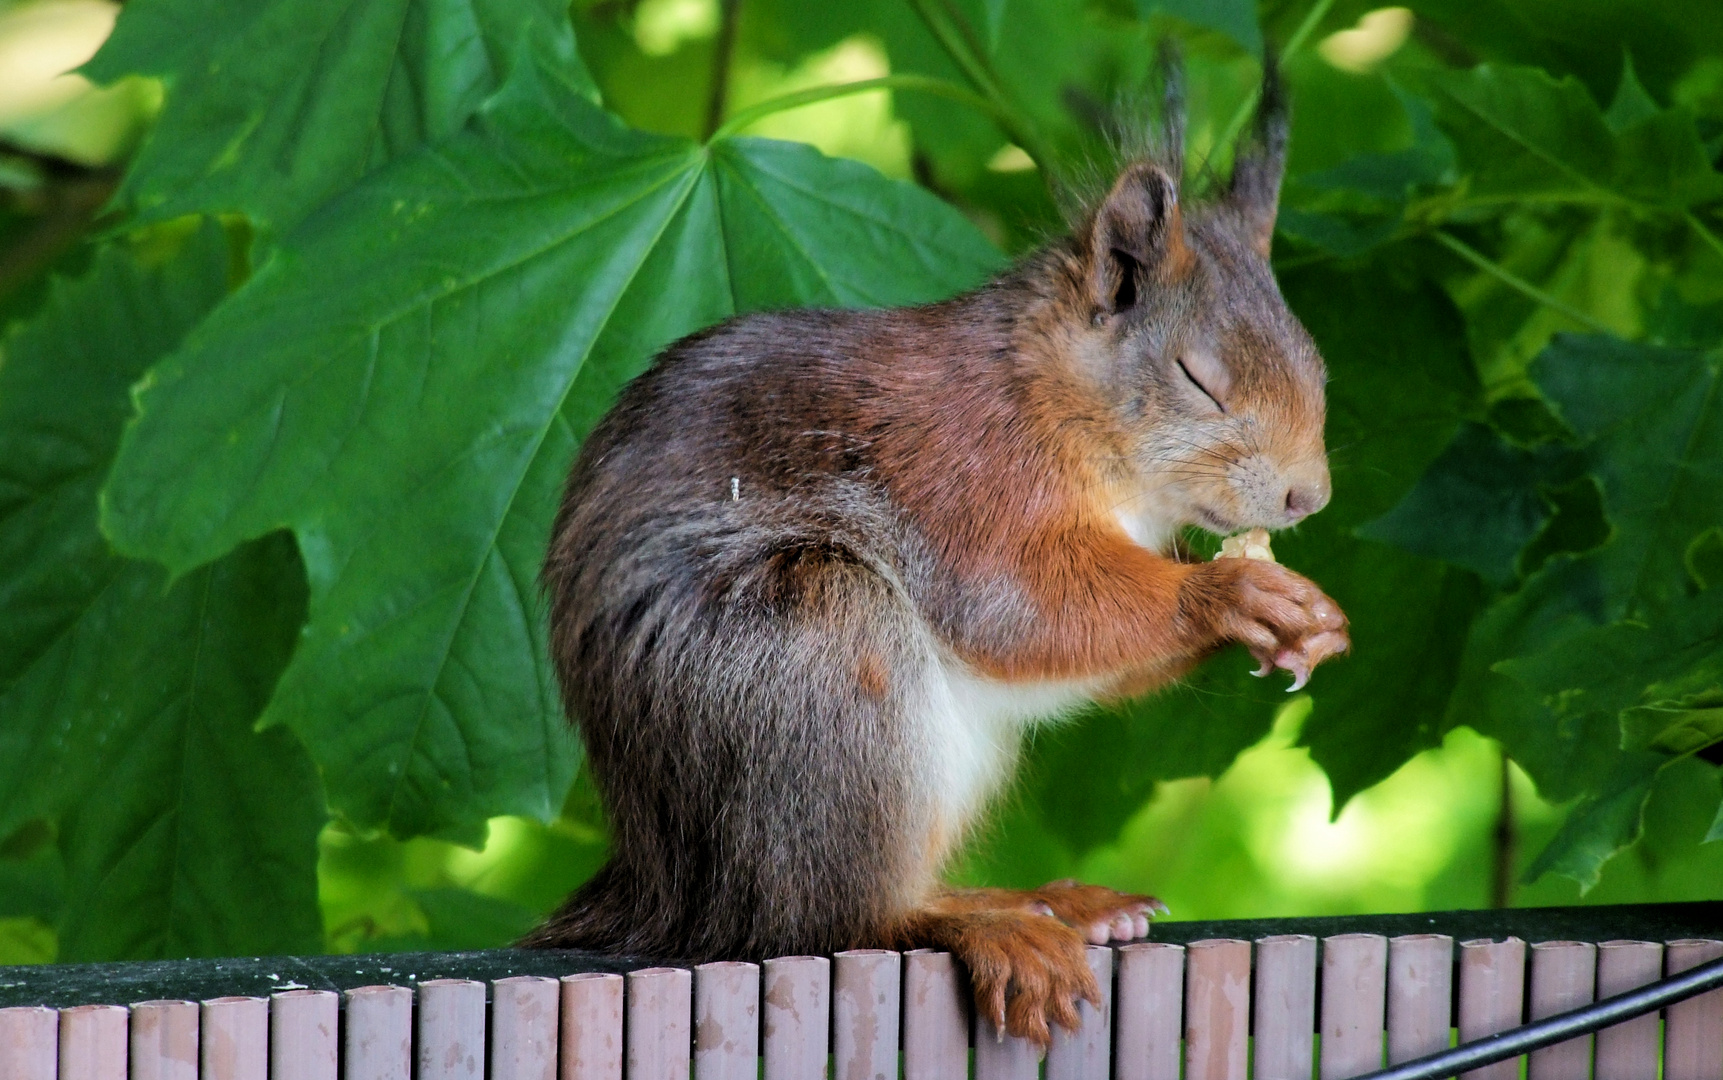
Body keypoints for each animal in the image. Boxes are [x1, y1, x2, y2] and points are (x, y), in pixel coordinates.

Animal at [516, 63, 1350, 1040]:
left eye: (1318, 368)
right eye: (1198, 381)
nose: (1307, 498)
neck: (1054, 402)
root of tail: (667, 884)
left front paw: (1311, 619)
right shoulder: (963, 479)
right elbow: (1023, 611)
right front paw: (1225, 599)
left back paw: (1049, 901)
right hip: (812, 663)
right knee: (832, 916)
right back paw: (977, 920)